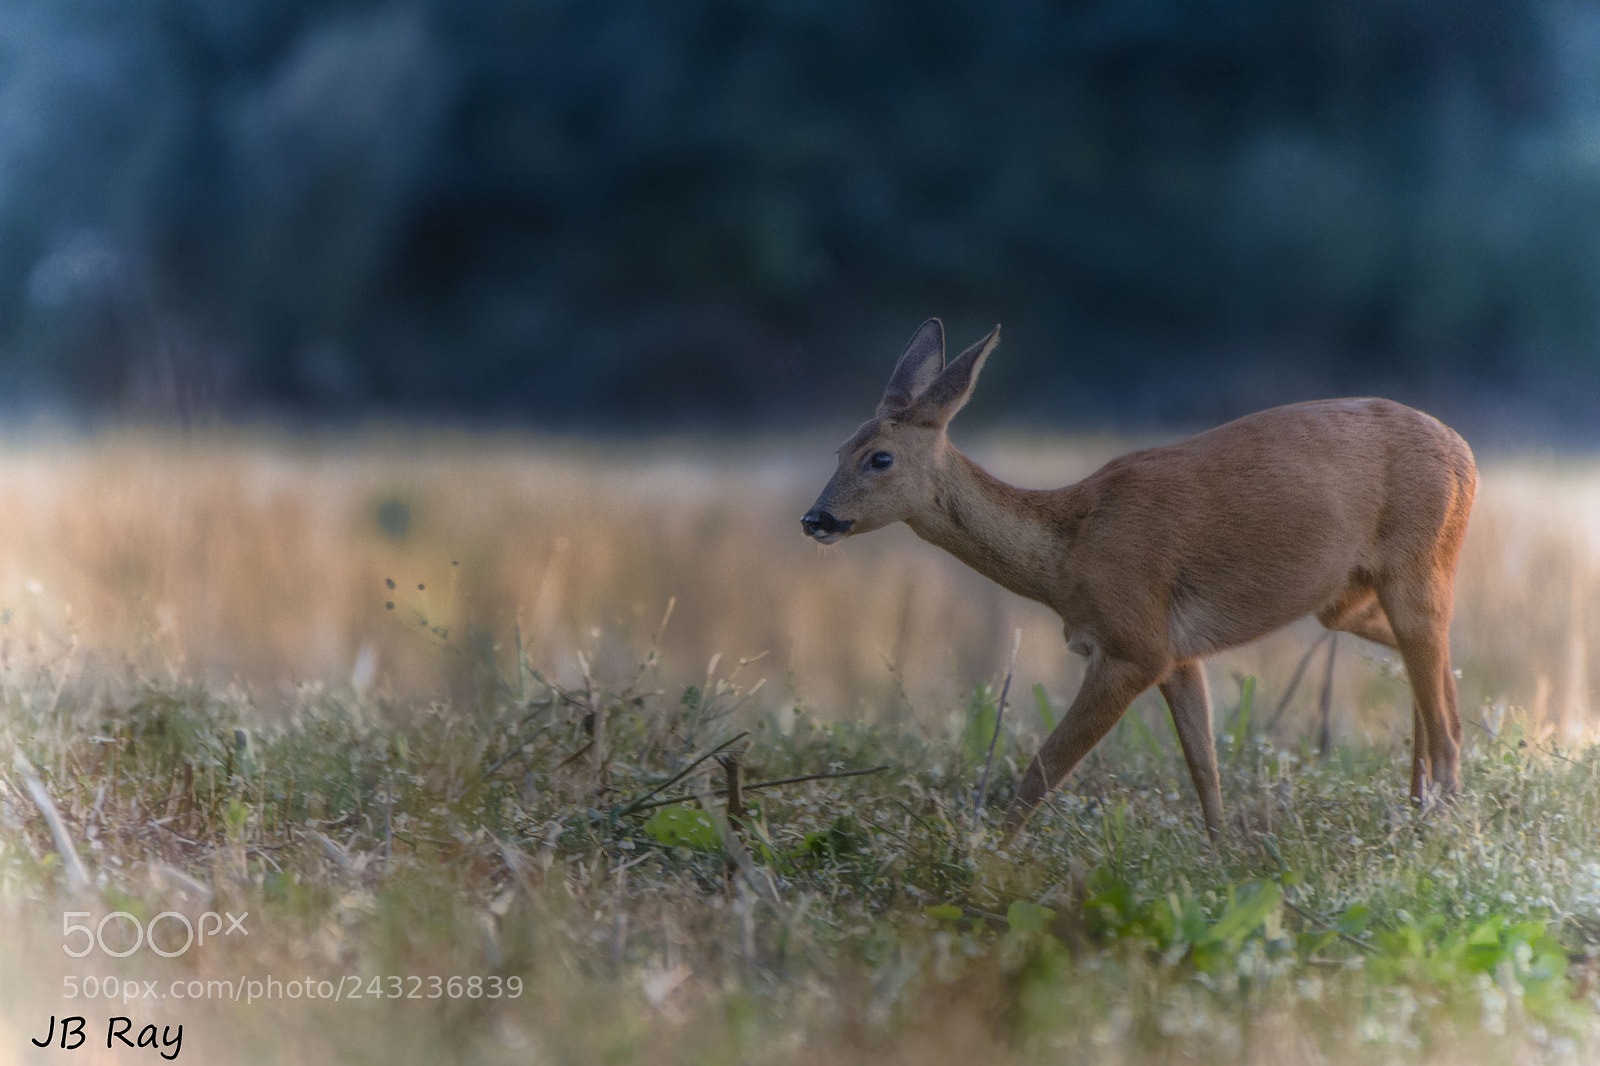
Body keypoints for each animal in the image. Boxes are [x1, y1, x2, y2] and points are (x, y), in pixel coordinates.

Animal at [801, 319, 1477, 840]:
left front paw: (983, 859)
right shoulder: (1179, 654)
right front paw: (1220, 855)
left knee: (1448, 718)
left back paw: (1437, 827)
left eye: (880, 457)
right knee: (1437, 676)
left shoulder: (1134, 644)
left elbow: (1043, 769)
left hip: (1419, 565)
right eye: (838, 450)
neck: (1068, 552)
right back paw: (1415, 801)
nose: (816, 518)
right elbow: (1203, 766)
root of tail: (1465, 455)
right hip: (1347, 597)